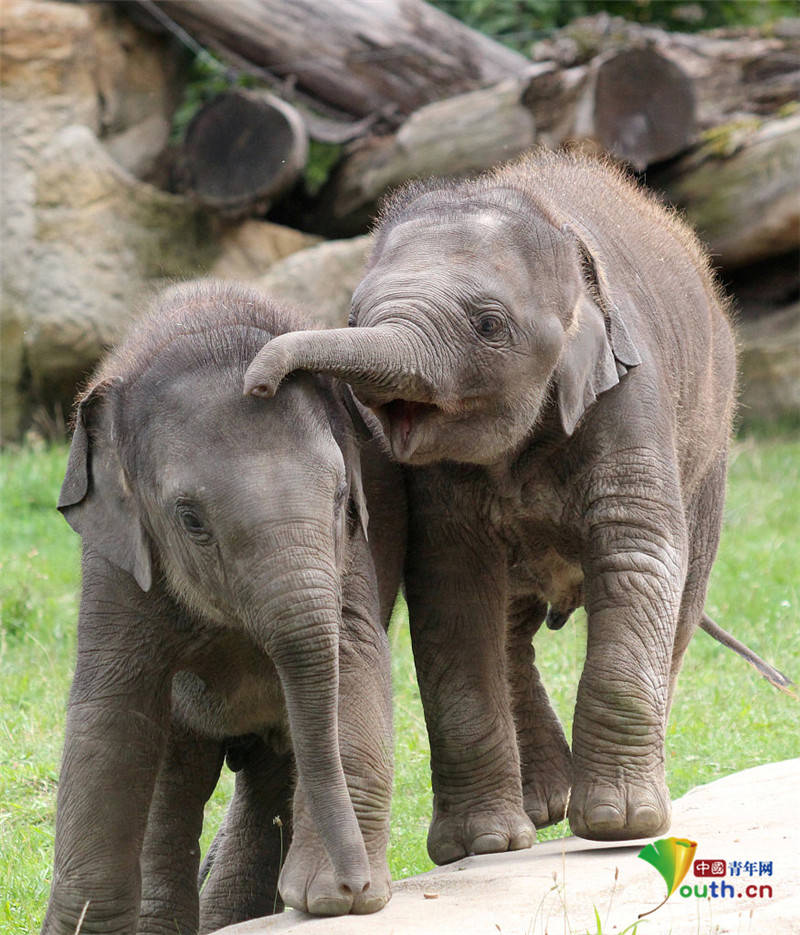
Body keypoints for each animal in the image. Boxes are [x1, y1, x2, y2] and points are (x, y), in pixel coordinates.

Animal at [43, 280, 406, 935]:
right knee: (175, 782)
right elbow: (110, 709)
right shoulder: (116, 561)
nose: (355, 883)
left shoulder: (354, 552)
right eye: (191, 520)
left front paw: (328, 900)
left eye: (342, 498)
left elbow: (353, 656)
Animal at [244, 149, 790, 860]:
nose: (258, 384)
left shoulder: (630, 395)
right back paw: (540, 806)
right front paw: (483, 846)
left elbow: (637, 554)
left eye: (489, 325)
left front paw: (618, 825)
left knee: (681, 594)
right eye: (356, 317)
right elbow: (451, 587)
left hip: (711, 451)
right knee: (509, 628)